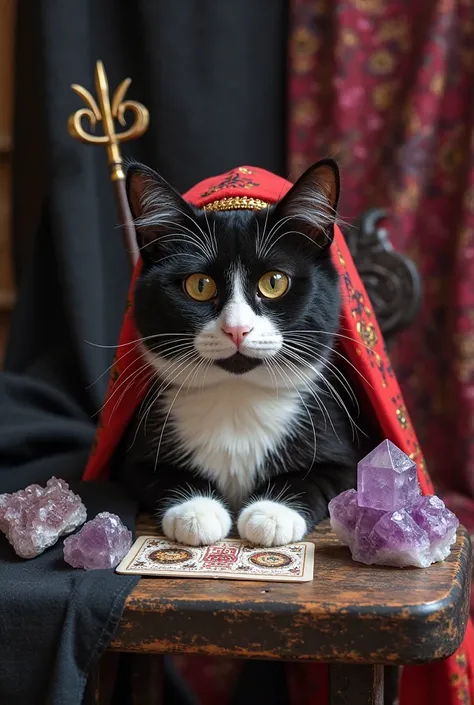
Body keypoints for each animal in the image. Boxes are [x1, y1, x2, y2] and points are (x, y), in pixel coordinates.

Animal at [116, 162, 368, 548]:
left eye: (274, 282)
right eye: (199, 285)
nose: (237, 329)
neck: (237, 397)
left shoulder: (339, 444)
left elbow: (322, 475)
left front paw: (273, 514)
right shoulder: (139, 452)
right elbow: (157, 473)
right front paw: (196, 511)